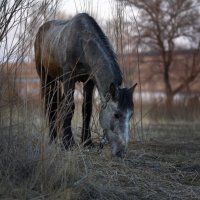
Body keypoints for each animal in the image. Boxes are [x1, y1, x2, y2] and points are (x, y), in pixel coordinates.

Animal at [34, 12, 138, 158]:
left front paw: (87, 142)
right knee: (51, 106)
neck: (82, 43)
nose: (121, 152)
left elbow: (87, 108)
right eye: (116, 114)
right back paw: (53, 139)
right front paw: (67, 143)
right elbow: (69, 107)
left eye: (131, 115)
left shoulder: (89, 81)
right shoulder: (69, 77)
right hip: (46, 78)